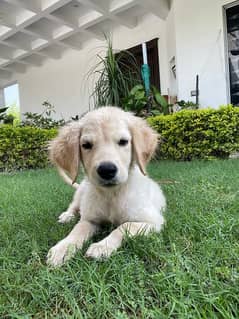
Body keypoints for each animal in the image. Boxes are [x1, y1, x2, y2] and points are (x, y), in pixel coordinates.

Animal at [46, 106, 166, 266]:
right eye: (86, 145)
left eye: (123, 142)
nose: (106, 170)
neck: (111, 194)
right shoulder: (89, 219)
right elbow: (78, 229)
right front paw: (63, 248)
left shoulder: (152, 221)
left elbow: (124, 227)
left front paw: (101, 246)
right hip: (82, 193)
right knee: (74, 205)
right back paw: (67, 216)